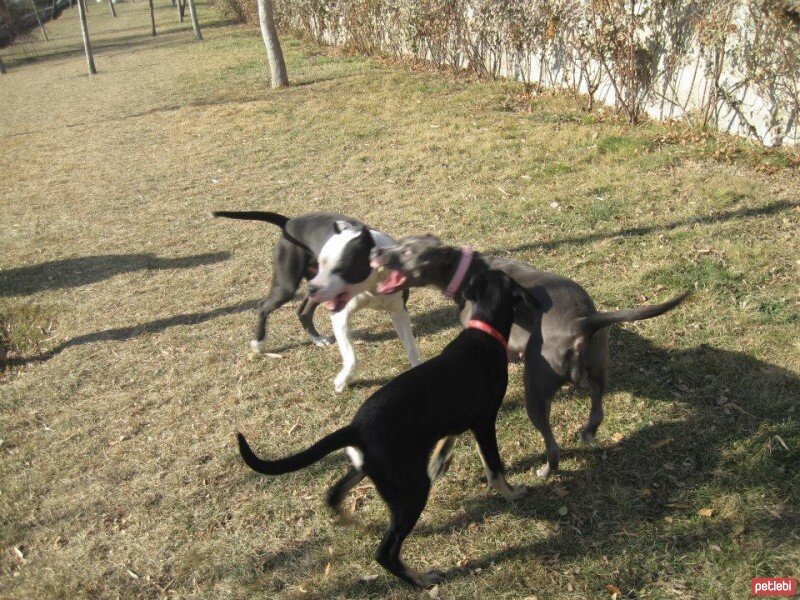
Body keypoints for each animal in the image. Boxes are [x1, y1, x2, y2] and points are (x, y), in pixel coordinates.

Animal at [212, 211, 424, 394]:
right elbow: (351, 357)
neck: (370, 286)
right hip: (288, 286)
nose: (312, 288)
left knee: (303, 311)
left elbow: (411, 348)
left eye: (341, 269)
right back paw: (259, 343)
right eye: (323, 263)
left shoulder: (399, 312)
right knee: (264, 306)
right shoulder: (339, 317)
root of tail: (289, 222)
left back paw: (316, 338)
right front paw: (342, 381)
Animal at [238, 270, 536, 584]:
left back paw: (356, 524)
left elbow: (450, 439)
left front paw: (441, 460)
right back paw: (421, 579)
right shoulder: (484, 421)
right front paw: (511, 493)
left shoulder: (461, 418)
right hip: (411, 488)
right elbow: (495, 468)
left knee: (334, 495)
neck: (484, 331)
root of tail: (355, 428)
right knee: (385, 551)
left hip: (373, 471)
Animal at [368, 238, 688, 478]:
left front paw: (439, 460)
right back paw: (587, 434)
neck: (466, 270)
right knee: (597, 411)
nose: (375, 252)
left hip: (534, 390)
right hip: (598, 371)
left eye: (408, 251)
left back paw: (546, 471)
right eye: (399, 242)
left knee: (553, 445)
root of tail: (583, 321)